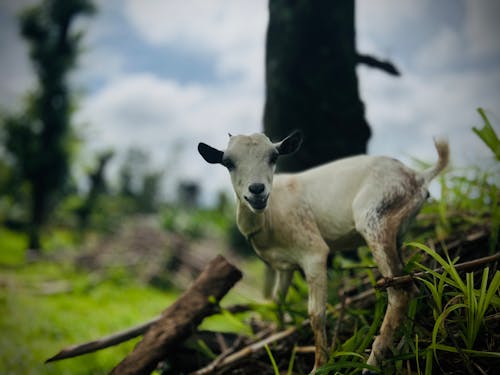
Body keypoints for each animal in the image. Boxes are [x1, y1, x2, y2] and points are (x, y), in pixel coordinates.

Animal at [198, 131, 450, 374]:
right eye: (228, 162)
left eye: (274, 157)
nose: (257, 190)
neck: (270, 214)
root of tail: (418, 176)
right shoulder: (284, 265)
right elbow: (278, 301)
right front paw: (278, 337)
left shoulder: (313, 252)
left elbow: (316, 313)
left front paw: (320, 366)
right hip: (395, 230)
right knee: (412, 285)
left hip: (375, 218)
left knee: (400, 292)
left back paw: (371, 364)